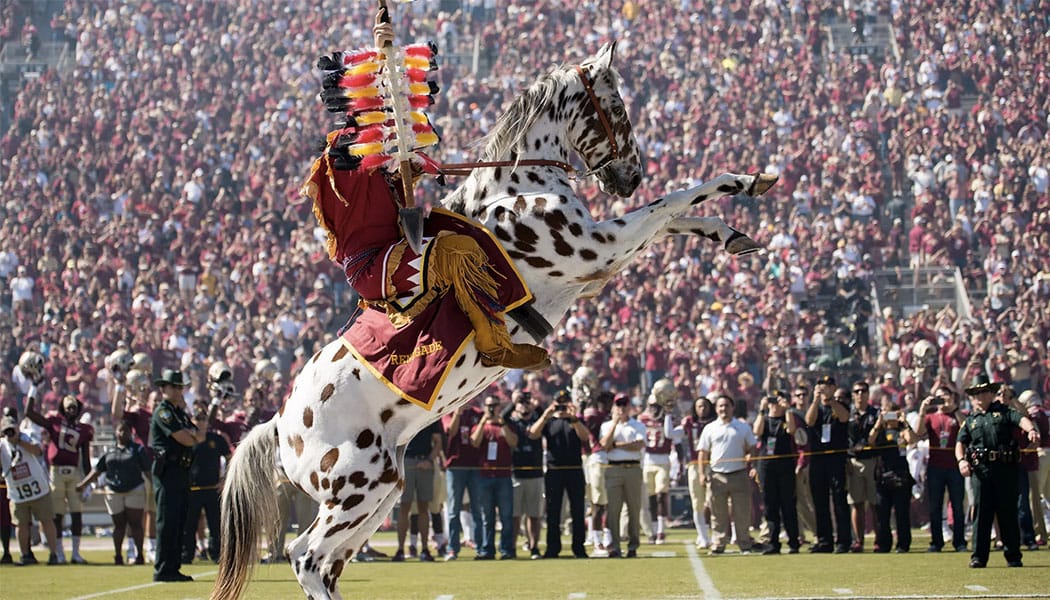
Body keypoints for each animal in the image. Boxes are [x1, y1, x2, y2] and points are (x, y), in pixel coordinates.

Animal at [213, 43, 776, 600]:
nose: (631, 176)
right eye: (616, 106)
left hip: (383, 490)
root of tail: (279, 424)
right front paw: (747, 179)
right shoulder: (599, 248)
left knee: (326, 564)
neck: (515, 190)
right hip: (360, 487)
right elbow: (678, 199)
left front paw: (732, 234)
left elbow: (675, 218)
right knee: (305, 556)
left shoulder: (598, 265)